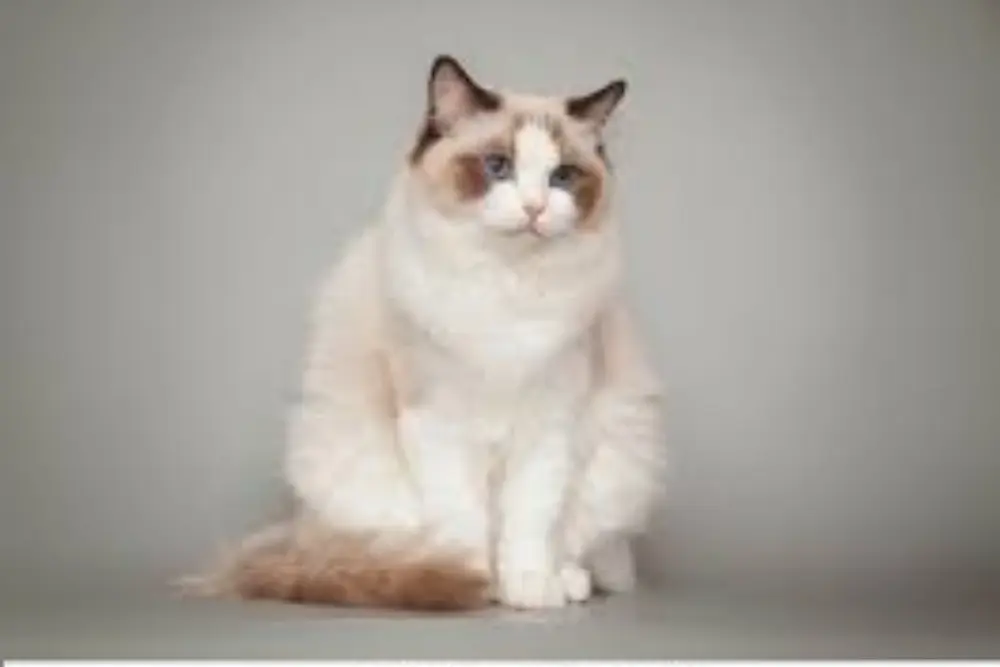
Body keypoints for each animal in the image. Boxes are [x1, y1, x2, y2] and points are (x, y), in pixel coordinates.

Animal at [184, 56, 668, 612]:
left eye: (562, 176)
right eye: (498, 166)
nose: (534, 208)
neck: (508, 286)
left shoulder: (548, 427)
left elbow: (529, 522)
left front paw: (527, 586)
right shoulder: (438, 423)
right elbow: (462, 524)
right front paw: (471, 580)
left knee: (579, 541)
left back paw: (566, 580)